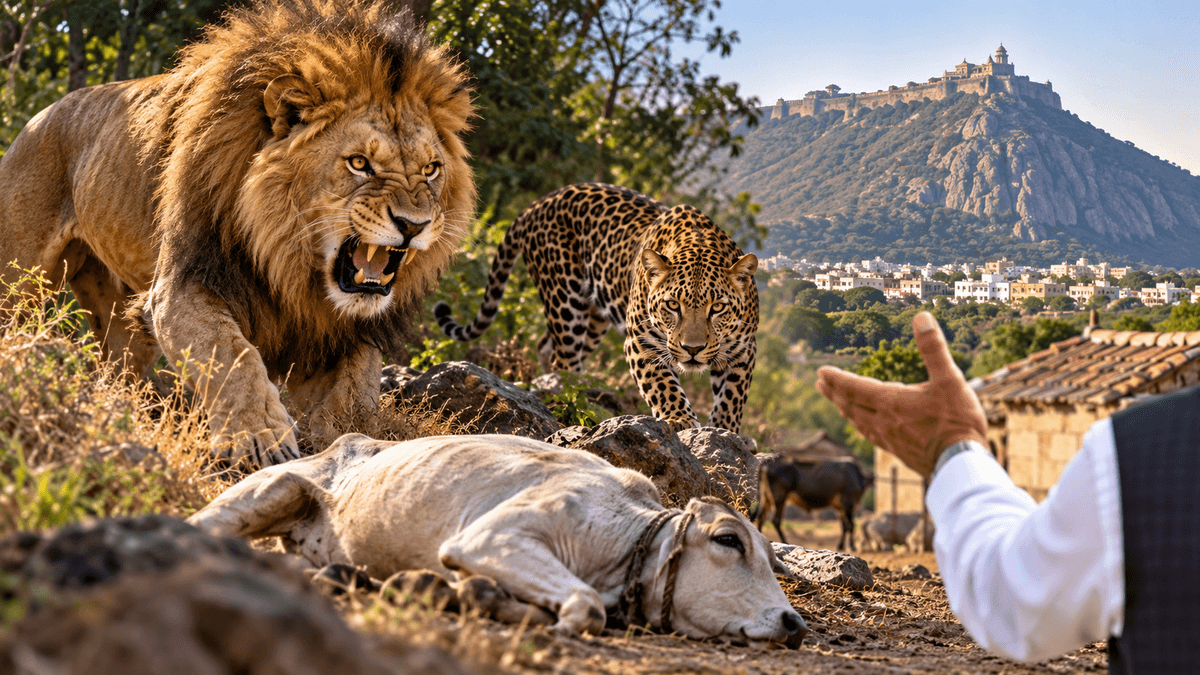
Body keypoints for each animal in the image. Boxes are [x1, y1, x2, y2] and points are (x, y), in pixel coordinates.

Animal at [0, 0, 474, 467]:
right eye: (359, 163)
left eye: (431, 169)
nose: (414, 225)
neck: (285, 257)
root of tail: (41, 114)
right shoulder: (184, 284)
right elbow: (231, 355)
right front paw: (261, 440)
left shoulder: (336, 330)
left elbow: (356, 395)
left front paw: (352, 442)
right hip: (17, 280)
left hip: (121, 322)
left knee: (118, 374)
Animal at [434, 183, 758, 433]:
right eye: (672, 305)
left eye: (718, 307)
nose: (692, 349)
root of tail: (539, 203)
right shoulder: (641, 343)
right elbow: (663, 385)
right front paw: (679, 418)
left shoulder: (743, 350)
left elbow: (732, 397)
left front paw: (725, 430)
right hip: (565, 301)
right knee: (563, 361)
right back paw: (580, 397)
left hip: (594, 319)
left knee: (546, 347)